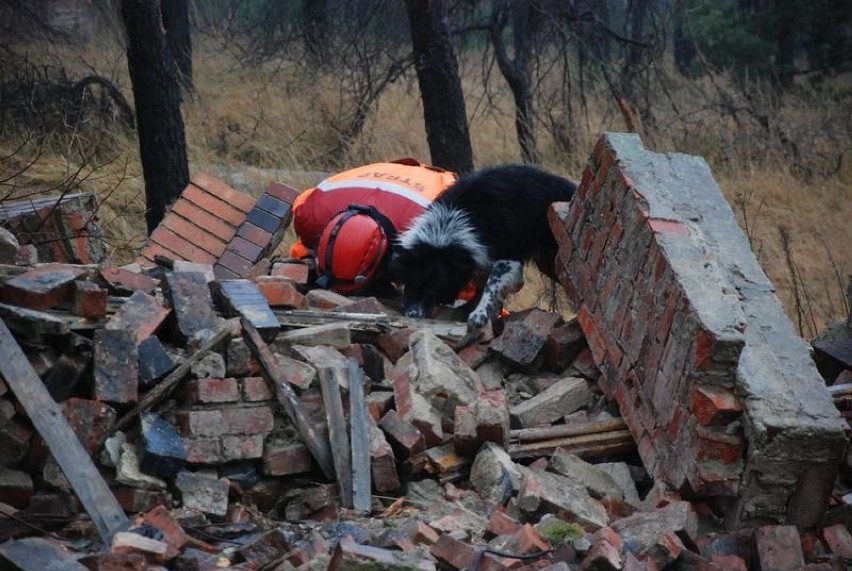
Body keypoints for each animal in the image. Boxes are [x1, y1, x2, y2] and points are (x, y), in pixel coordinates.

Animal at [392, 163, 580, 332]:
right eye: (410, 285)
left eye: (432, 291)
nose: (413, 315)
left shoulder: (507, 256)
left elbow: (492, 284)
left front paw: (478, 315)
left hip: (553, 257)